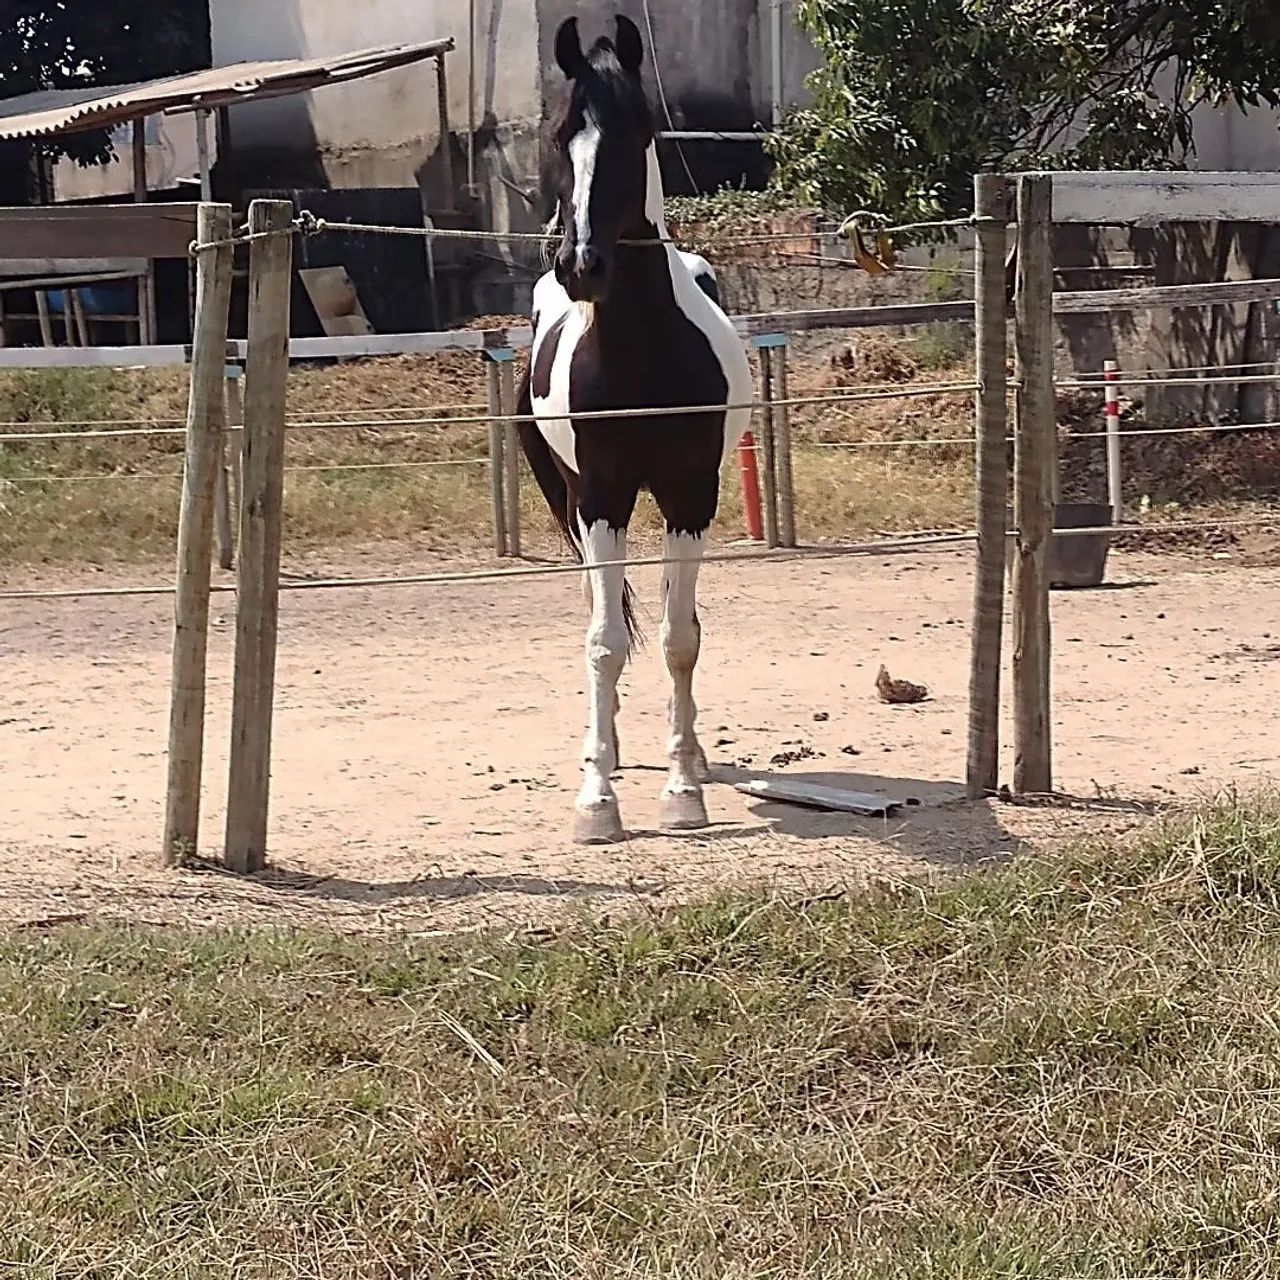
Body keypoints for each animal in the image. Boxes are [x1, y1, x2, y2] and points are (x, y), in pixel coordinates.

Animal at [516, 13, 753, 844]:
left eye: (635, 132)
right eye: (562, 134)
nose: (581, 265)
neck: (643, 352)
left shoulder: (690, 495)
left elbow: (681, 637)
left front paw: (683, 788)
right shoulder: (602, 497)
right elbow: (604, 641)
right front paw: (596, 799)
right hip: (575, 502)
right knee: (604, 618)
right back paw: (607, 750)